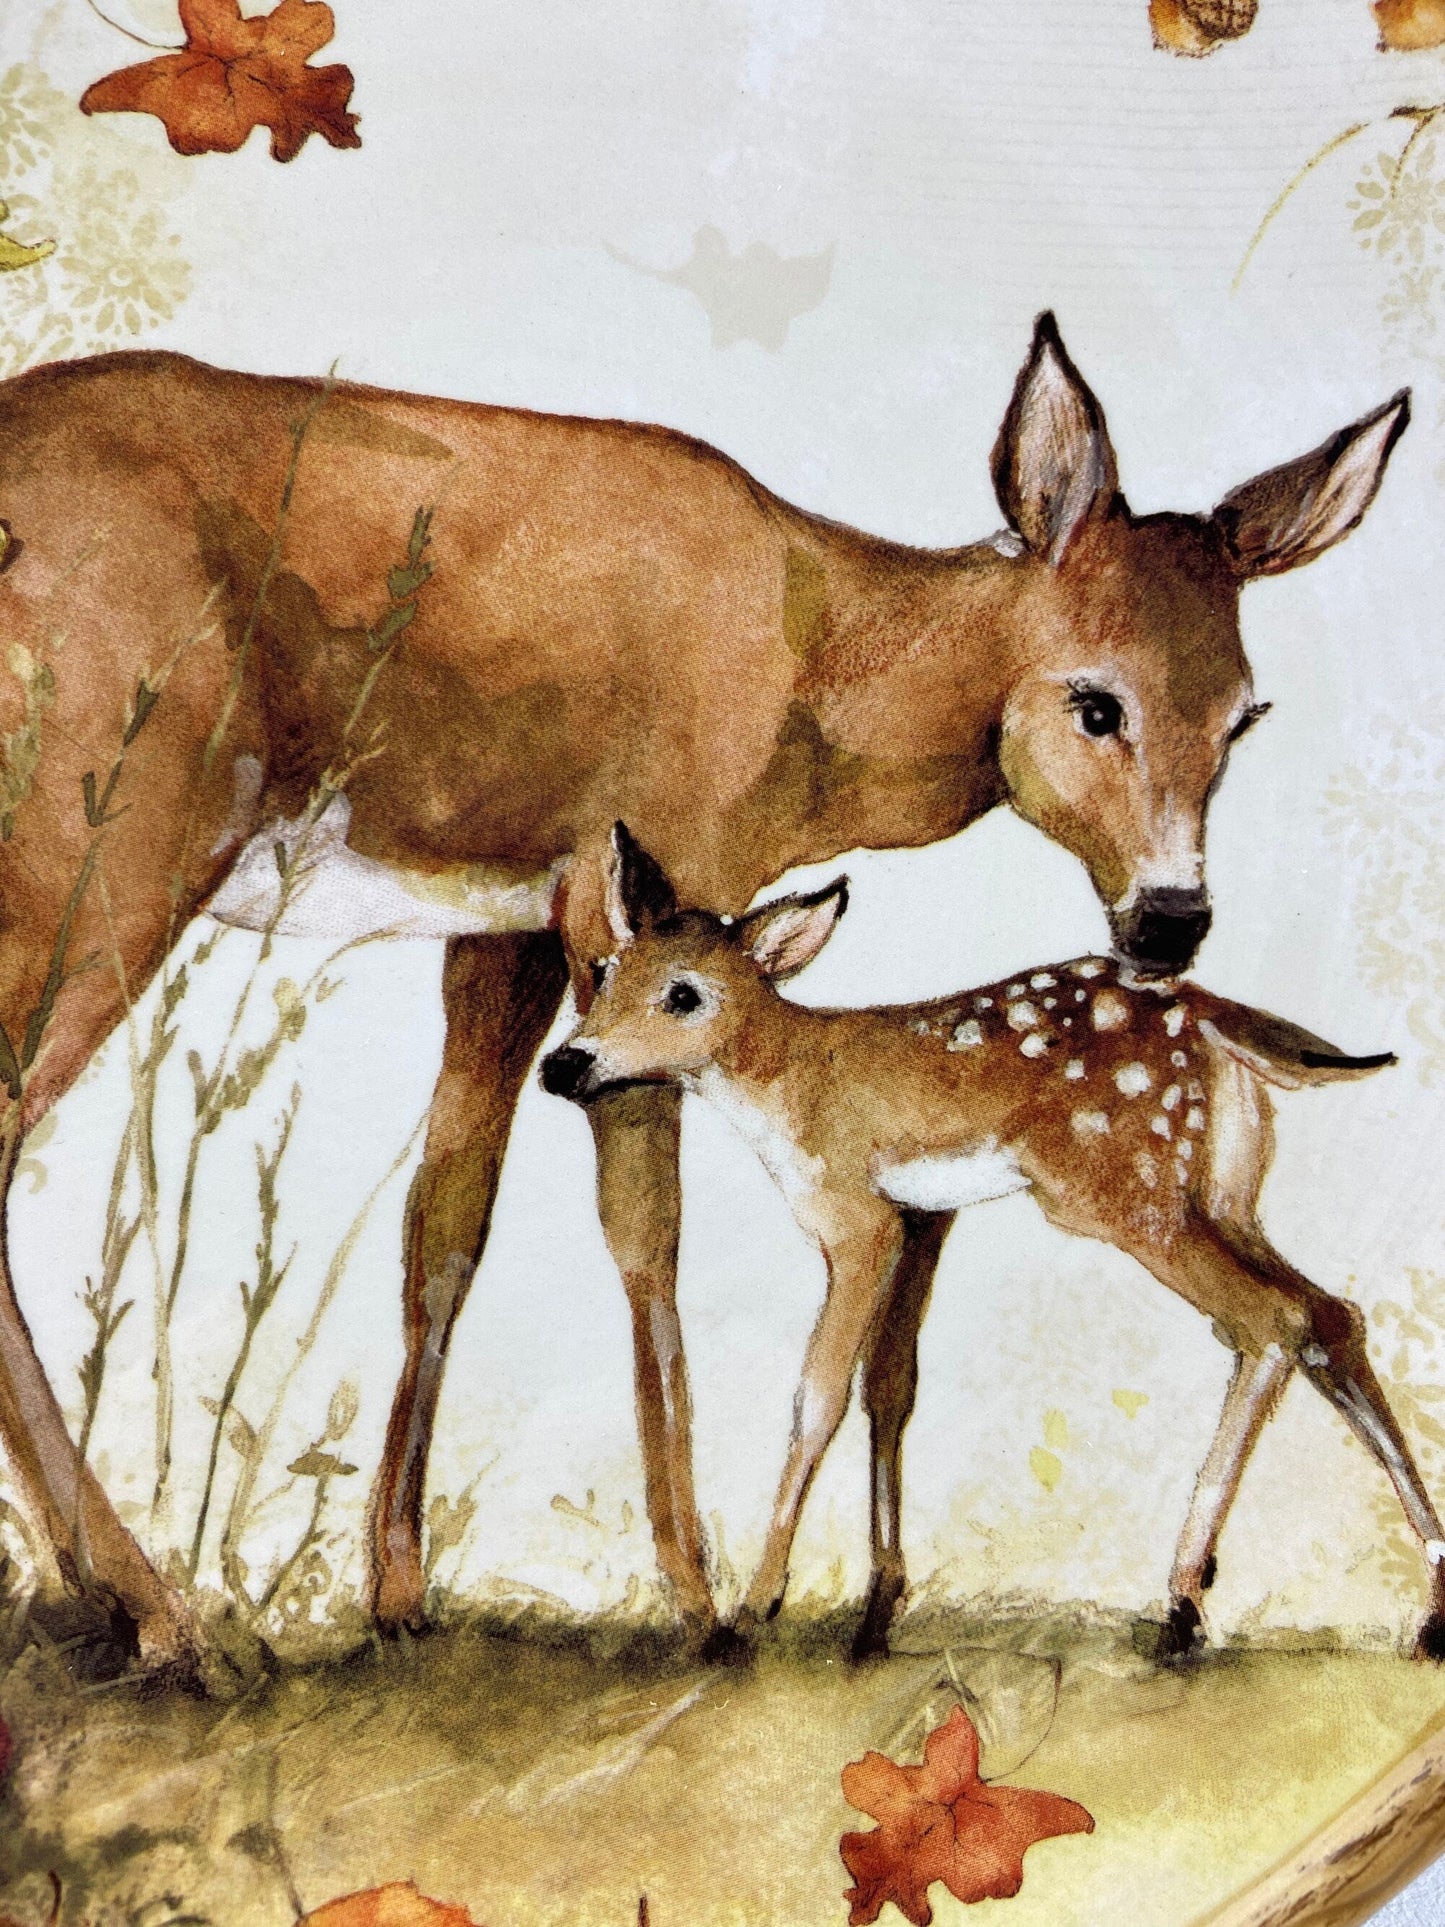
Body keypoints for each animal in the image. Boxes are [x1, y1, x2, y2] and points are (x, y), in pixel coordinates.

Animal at [542, 826, 1445, 1664]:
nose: (564, 1065)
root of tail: (1219, 1022)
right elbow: (889, 1387)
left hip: (1121, 1190)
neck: (786, 1088)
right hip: (1224, 1192)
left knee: (1268, 1320)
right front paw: (875, 1611)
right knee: (1330, 1313)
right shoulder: (923, 1217)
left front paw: (755, 1606)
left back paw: (1182, 1601)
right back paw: (1427, 1608)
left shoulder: (856, 1216)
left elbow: (817, 1394)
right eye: (606, 972)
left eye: (683, 994)